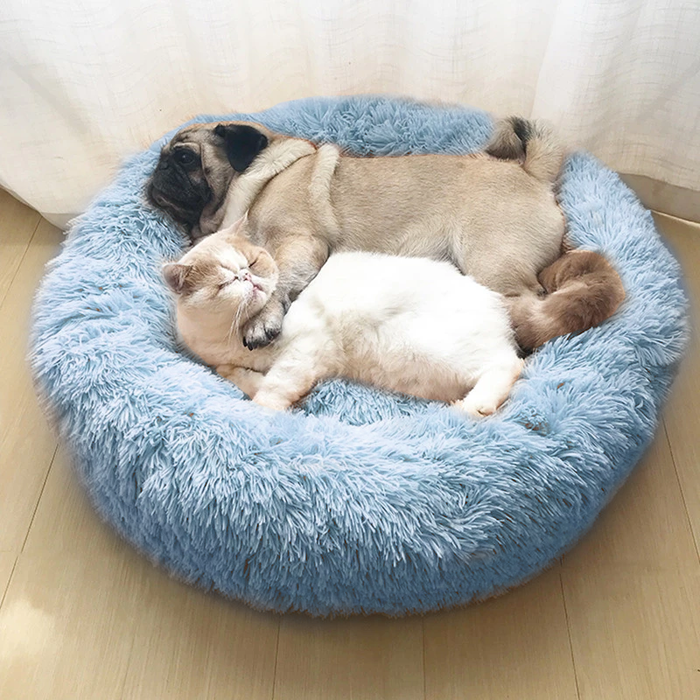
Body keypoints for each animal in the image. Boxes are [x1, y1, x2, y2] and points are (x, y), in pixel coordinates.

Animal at [148, 117, 624, 352]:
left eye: (185, 157)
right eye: (163, 160)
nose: (157, 172)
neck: (258, 181)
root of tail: (531, 173)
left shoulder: (298, 244)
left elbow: (274, 281)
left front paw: (262, 319)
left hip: (492, 261)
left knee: (527, 305)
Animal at [164, 224, 524, 416]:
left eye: (252, 263)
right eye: (225, 282)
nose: (248, 279)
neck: (229, 339)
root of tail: (496, 305)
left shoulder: (307, 348)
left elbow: (272, 388)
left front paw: (264, 413)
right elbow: (241, 377)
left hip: (430, 349)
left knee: (508, 364)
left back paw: (471, 407)